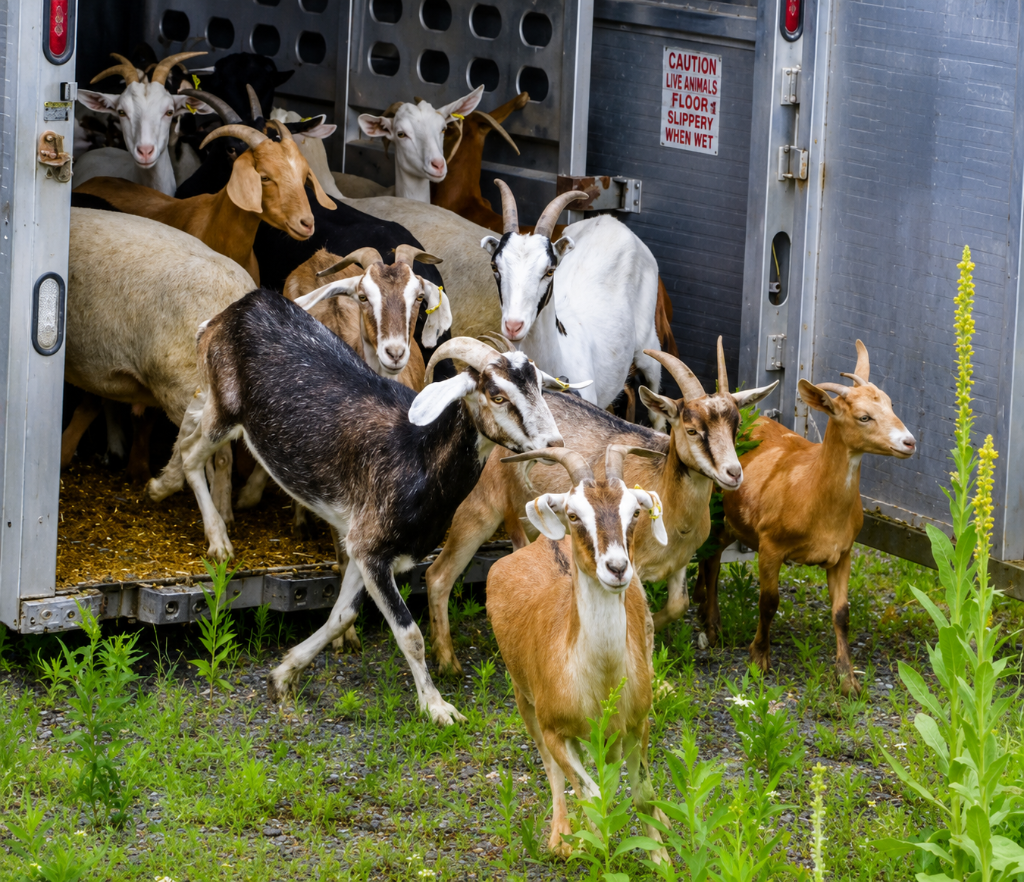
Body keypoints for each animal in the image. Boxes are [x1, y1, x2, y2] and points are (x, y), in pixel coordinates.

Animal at [148, 303, 568, 722]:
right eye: (496, 395)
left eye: (539, 387)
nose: (554, 443)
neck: (417, 454)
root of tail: (232, 313)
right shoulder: (371, 548)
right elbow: (410, 635)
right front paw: (437, 708)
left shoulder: (359, 547)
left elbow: (341, 617)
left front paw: (282, 676)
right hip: (225, 411)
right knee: (192, 452)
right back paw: (215, 537)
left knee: (189, 423)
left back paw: (161, 485)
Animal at [425, 340, 778, 674]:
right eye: (691, 430)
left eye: (735, 428)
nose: (733, 473)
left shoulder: (678, 560)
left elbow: (679, 603)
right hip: (479, 510)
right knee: (438, 575)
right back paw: (448, 664)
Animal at [487, 444, 671, 860]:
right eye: (574, 514)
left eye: (635, 512)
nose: (616, 568)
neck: (599, 683)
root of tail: (544, 541)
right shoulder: (555, 729)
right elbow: (590, 791)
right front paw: (595, 845)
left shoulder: (639, 723)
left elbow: (643, 793)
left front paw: (662, 858)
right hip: (523, 698)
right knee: (552, 768)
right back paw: (562, 837)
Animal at [693, 340, 916, 696]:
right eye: (863, 416)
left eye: (891, 404)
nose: (909, 442)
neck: (812, 496)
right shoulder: (770, 545)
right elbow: (769, 602)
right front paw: (759, 659)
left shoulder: (844, 551)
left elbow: (841, 613)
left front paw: (848, 679)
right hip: (713, 506)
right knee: (710, 555)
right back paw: (712, 627)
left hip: (733, 521)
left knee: (712, 555)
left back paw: (703, 607)